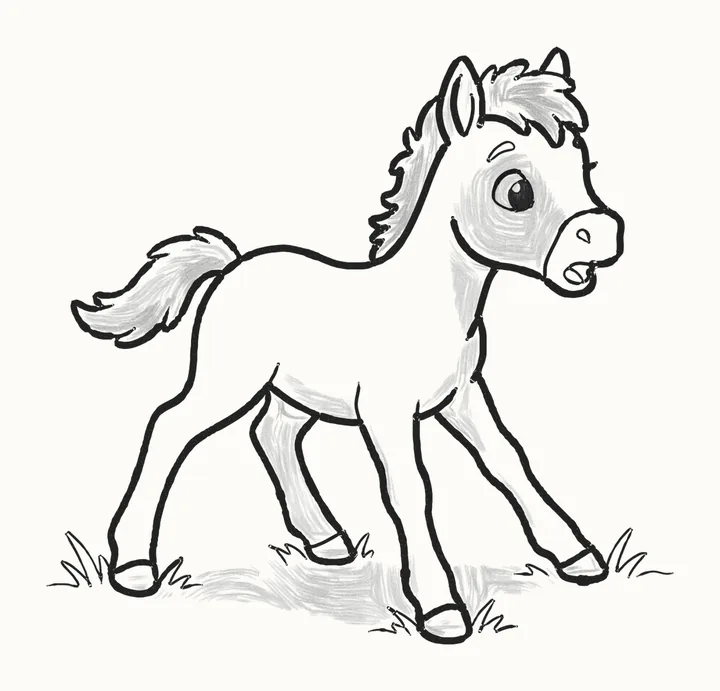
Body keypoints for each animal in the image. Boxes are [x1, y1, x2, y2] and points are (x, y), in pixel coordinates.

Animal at [71, 48, 624, 644]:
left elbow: (507, 460)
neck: (433, 306)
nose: (604, 234)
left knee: (272, 433)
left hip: (295, 388)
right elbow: (411, 490)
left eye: (585, 168)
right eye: (515, 189)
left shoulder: (461, 395)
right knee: (170, 425)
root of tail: (235, 263)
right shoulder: (387, 412)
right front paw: (441, 609)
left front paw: (576, 556)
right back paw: (134, 565)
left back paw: (327, 541)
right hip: (230, 379)